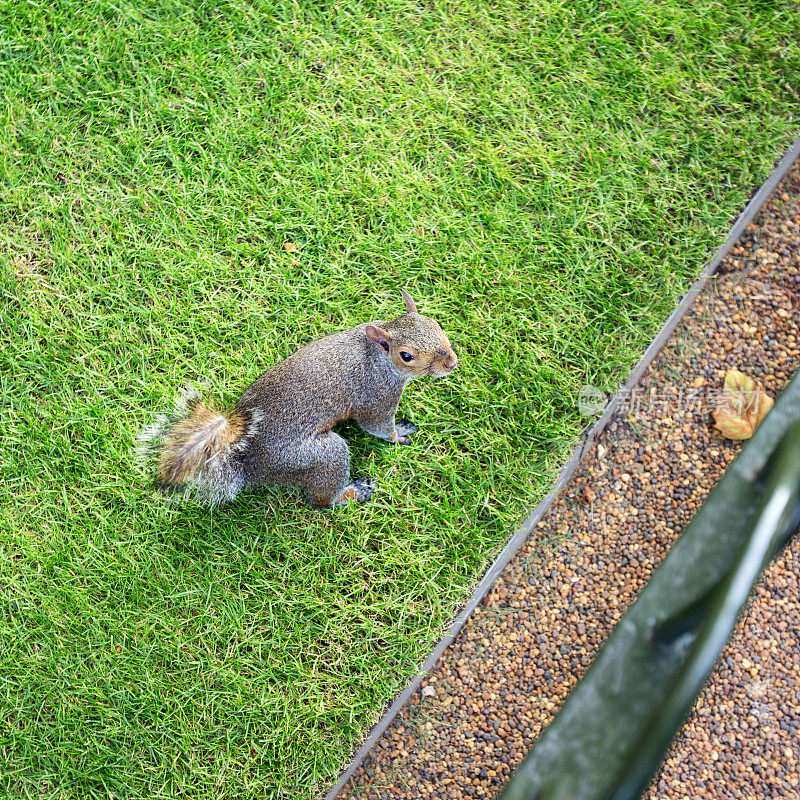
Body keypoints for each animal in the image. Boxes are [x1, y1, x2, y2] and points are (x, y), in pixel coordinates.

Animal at [139, 290, 456, 510]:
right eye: (406, 356)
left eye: (437, 323)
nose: (452, 363)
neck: (377, 354)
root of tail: (250, 465)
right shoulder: (377, 393)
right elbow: (376, 425)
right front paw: (397, 434)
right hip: (318, 458)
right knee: (321, 500)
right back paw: (352, 493)